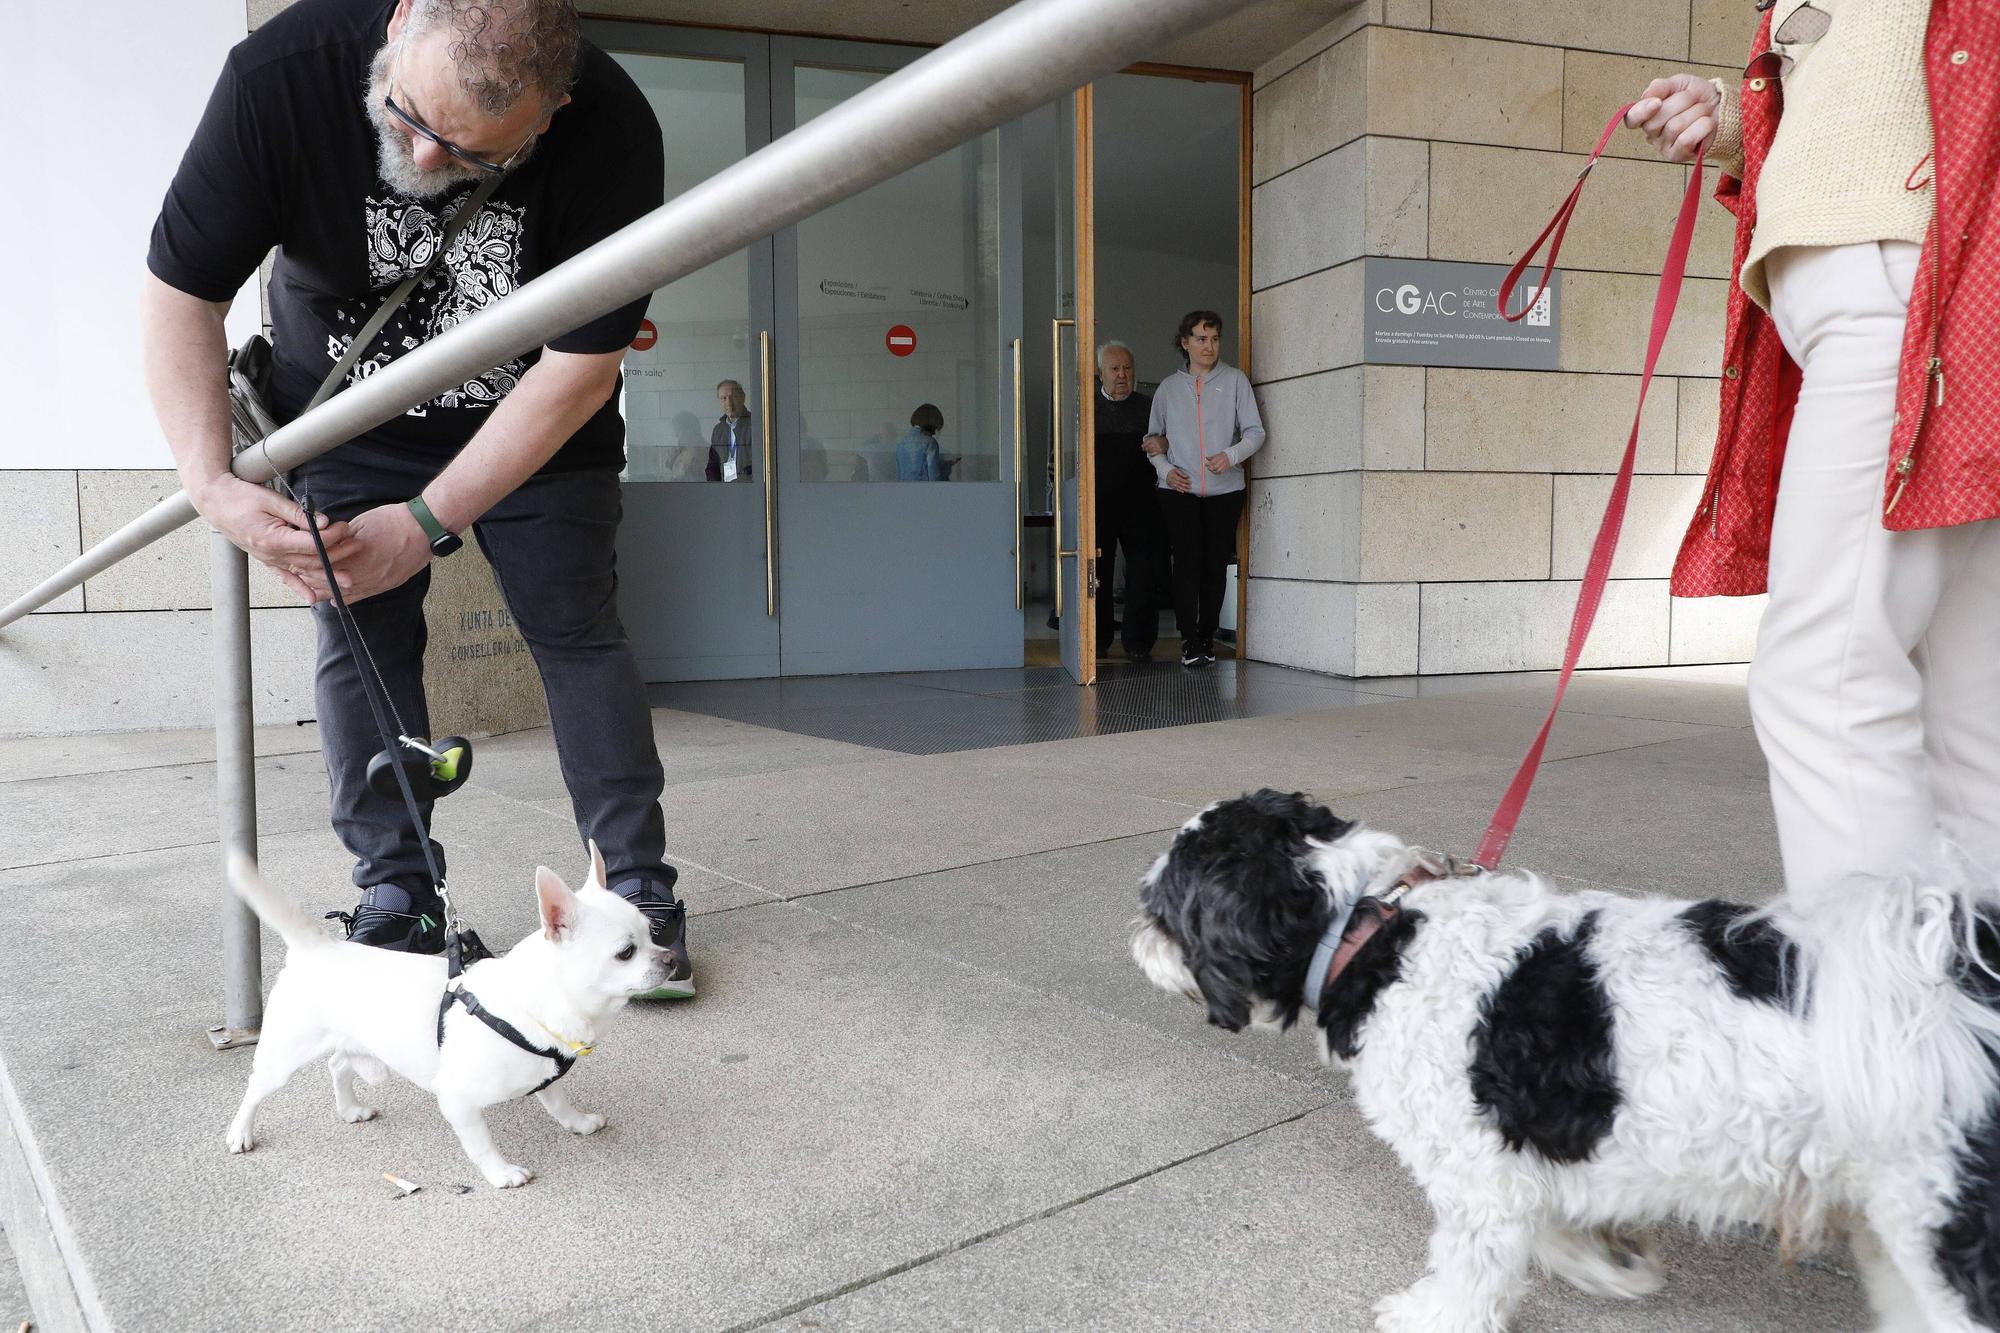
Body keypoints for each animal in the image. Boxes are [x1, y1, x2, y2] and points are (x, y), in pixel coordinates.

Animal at [1136, 788, 2000, 1328]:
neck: (1373, 927)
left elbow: (1469, 1263)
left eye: (1162, 905)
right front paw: (1612, 1264)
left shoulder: (1475, 1175)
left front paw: (1432, 1314)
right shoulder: (1526, 1156)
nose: (1134, 933)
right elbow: (1547, 1222)